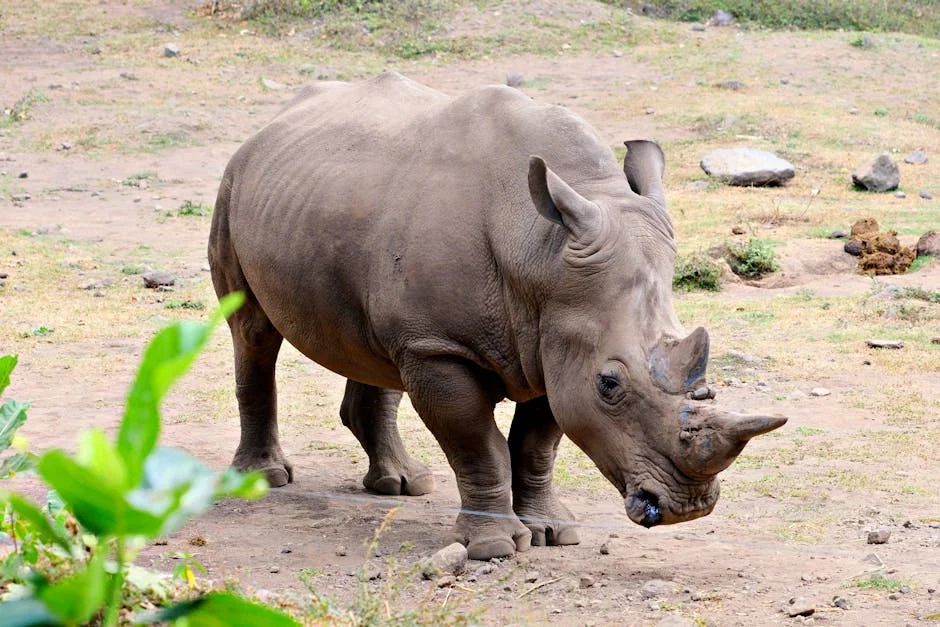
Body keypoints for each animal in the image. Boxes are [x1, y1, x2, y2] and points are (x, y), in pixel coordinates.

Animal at [208, 72, 786, 560]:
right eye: (610, 385)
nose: (688, 508)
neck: (541, 254)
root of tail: (271, 123)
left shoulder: (554, 341)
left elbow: (536, 445)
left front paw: (553, 532)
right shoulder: (441, 346)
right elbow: (476, 444)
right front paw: (494, 548)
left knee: (374, 349)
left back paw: (403, 485)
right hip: (231, 186)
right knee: (252, 333)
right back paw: (263, 480)